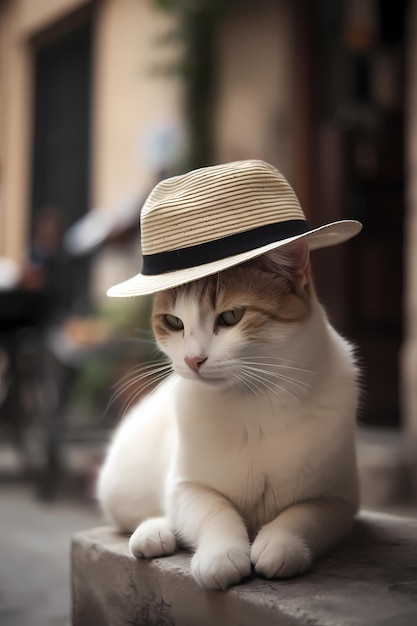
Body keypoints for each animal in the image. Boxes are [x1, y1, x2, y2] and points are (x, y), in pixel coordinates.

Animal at [96, 236, 358, 588]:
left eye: (232, 316)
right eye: (174, 322)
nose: (192, 360)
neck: (253, 402)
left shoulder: (339, 501)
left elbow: (303, 513)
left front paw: (280, 544)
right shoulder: (186, 486)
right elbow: (215, 510)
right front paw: (222, 555)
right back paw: (154, 532)